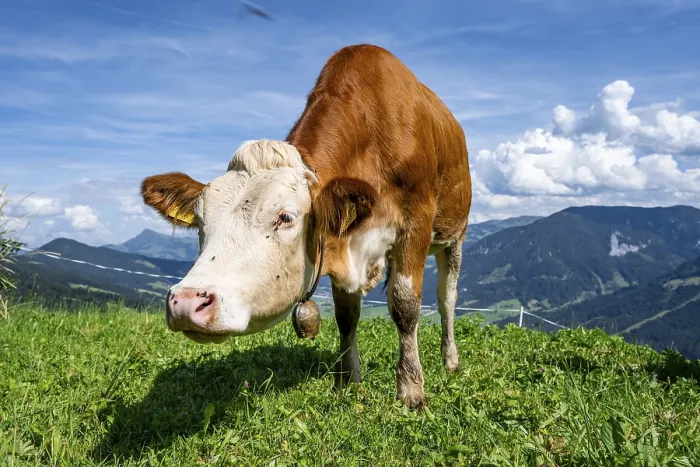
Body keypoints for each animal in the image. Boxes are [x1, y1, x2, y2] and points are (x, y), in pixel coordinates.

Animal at [140, 44, 472, 409]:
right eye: (200, 220)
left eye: (286, 217)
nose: (186, 303)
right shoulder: (341, 240)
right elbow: (346, 316)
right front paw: (347, 380)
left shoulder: (416, 222)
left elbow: (405, 305)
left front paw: (411, 390)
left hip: (455, 234)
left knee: (447, 298)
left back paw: (450, 360)